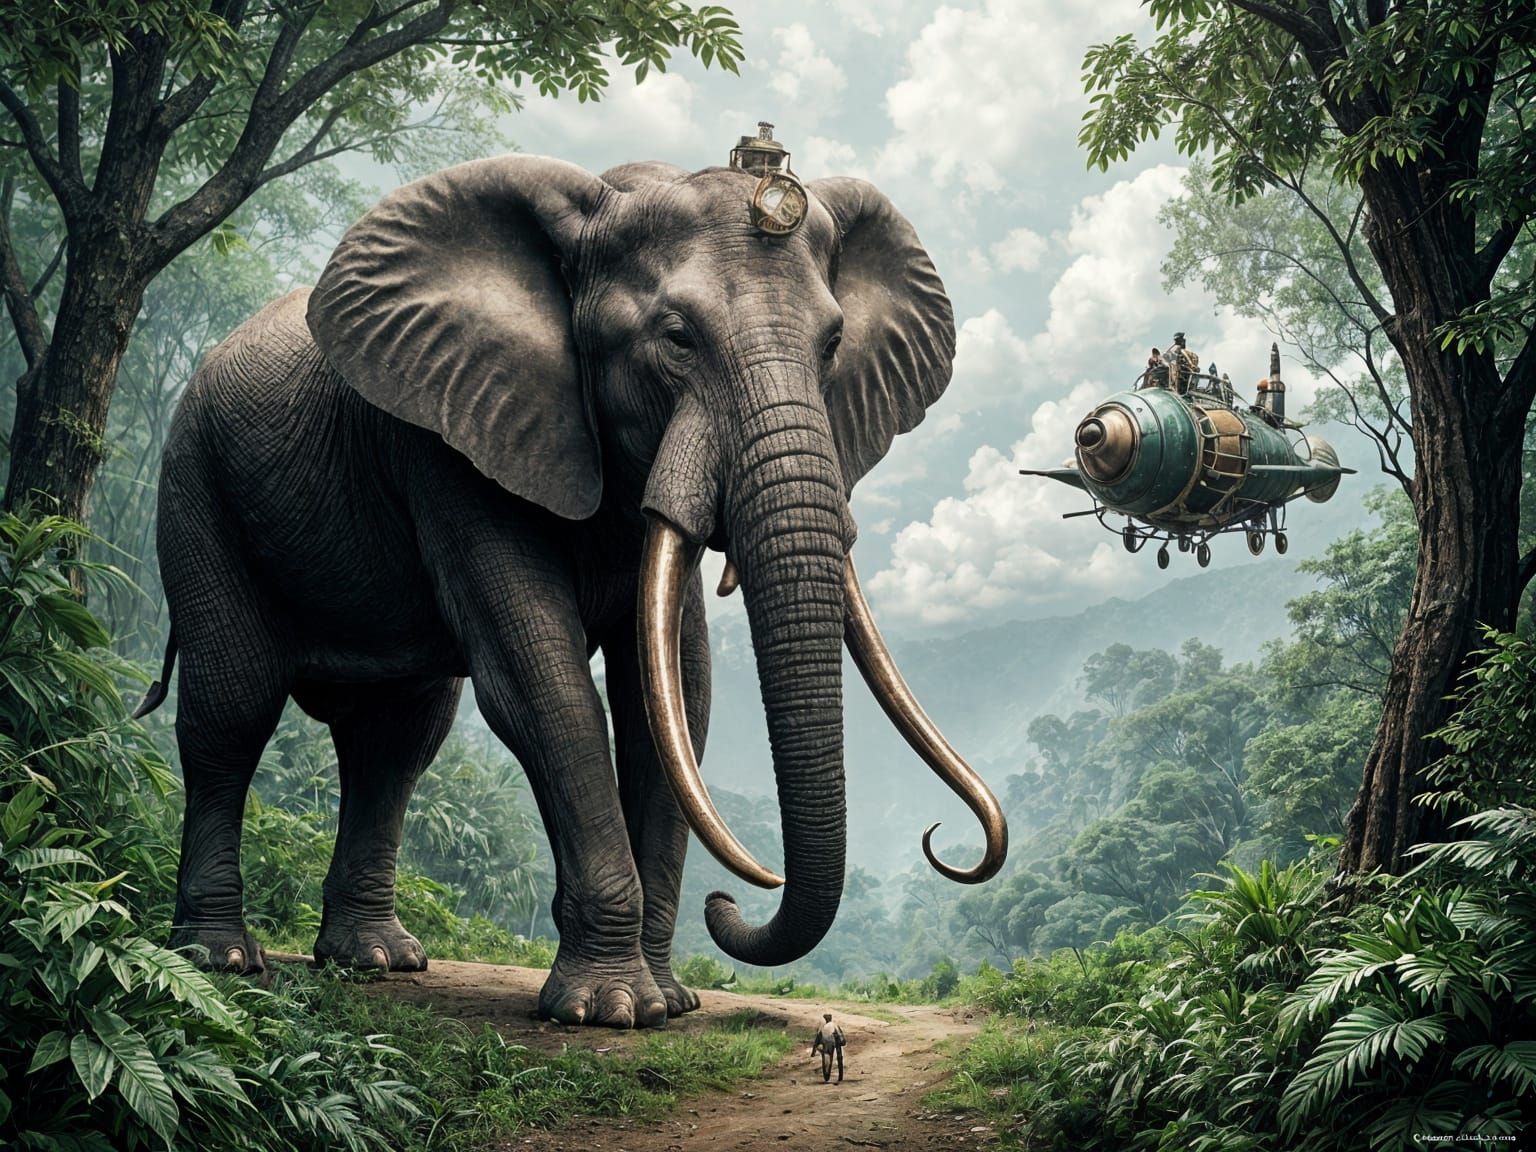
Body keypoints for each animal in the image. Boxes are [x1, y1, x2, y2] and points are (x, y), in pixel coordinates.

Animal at [142, 146, 1008, 1028]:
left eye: (833, 344)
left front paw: (669, 1004)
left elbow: (672, 692)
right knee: (234, 705)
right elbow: (541, 680)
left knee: (398, 739)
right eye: (676, 338)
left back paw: (374, 961)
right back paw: (218, 957)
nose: (729, 903)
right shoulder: (450, 443)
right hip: (194, 481)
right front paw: (610, 1009)